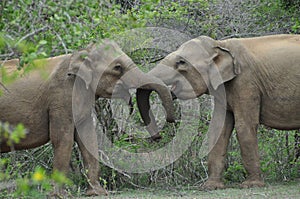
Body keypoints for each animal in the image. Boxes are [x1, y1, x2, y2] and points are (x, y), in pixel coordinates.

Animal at [0, 40, 175, 196]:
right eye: (117, 67)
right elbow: (63, 139)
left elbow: (88, 137)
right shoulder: (61, 97)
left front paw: (97, 193)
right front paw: (60, 196)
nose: (158, 136)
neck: (82, 53)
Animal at [137, 34, 300, 190]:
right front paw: (211, 187)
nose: (157, 137)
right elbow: (218, 128)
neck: (221, 45)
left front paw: (251, 185)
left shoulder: (246, 82)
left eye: (181, 62)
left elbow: (244, 126)